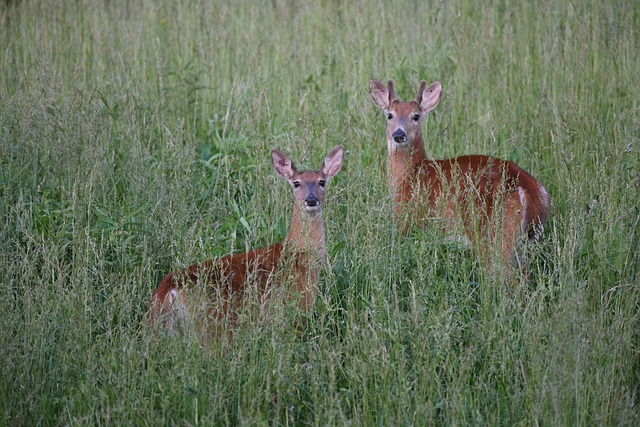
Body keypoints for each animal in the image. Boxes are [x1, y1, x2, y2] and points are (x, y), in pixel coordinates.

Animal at [149, 146, 344, 342]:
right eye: (296, 183)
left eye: (322, 182)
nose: (311, 200)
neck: (298, 255)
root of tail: (166, 292)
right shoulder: (296, 312)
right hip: (210, 328)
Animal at [370, 79, 552, 280]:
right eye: (390, 115)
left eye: (415, 116)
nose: (399, 134)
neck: (409, 174)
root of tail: (530, 190)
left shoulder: (408, 221)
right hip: (527, 241)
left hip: (493, 234)